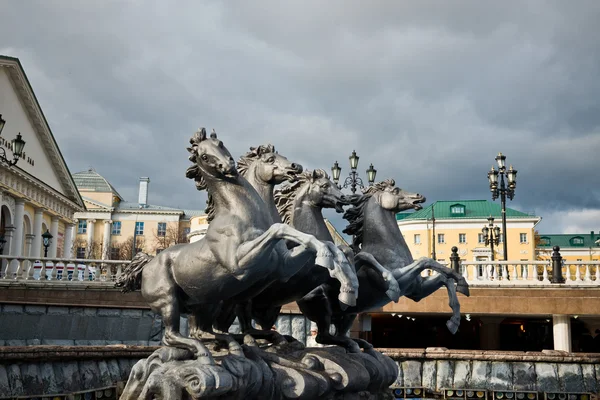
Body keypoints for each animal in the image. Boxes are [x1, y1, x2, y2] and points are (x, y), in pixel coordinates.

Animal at [119, 130, 358, 364]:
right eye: (204, 156)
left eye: (220, 144)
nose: (295, 167)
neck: (241, 215)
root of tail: (148, 262)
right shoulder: (241, 268)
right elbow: (282, 230)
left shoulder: (283, 265)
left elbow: (329, 245)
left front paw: (348, 285)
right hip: (172, 300)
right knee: (176, 335)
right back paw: (214, 351)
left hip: (208, 303)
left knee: (204, 332)